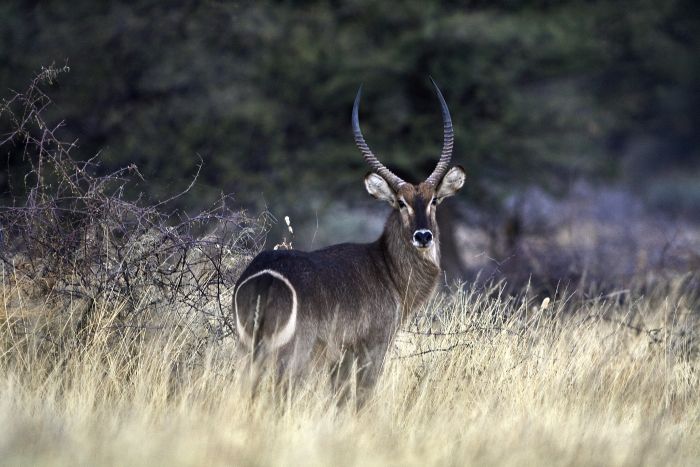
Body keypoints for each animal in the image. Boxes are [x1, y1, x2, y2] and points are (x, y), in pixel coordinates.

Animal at [232, 78, 468, 400]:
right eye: (400, 202)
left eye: (434, 201)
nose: (423, 236)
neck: (386, 268)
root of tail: (265, 277)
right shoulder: (373, 345)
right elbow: (360, 397)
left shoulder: (340, 357)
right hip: (292, 354)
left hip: (249, 350)